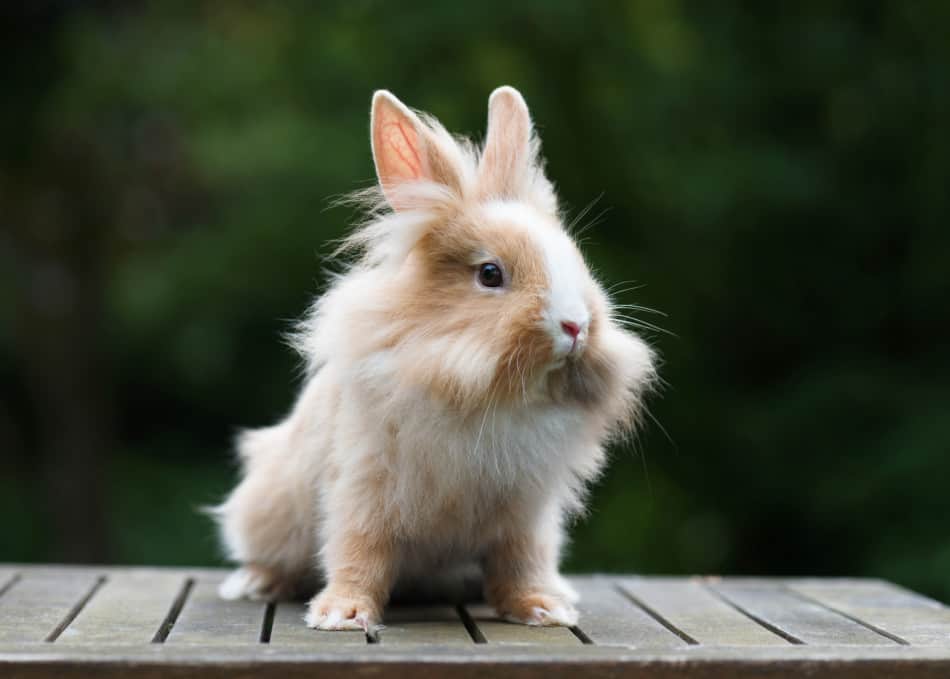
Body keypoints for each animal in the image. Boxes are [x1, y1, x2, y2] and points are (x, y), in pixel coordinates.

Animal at [214, 85, 660, 632]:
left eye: (577, 262)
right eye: (490, 274)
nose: (575, 326)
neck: (487, 394)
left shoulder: (527, 512)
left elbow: (522, 561)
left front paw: (542, 609)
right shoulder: (365, 487)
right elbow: (359, 550)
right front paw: (343, 614)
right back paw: (255, 583)